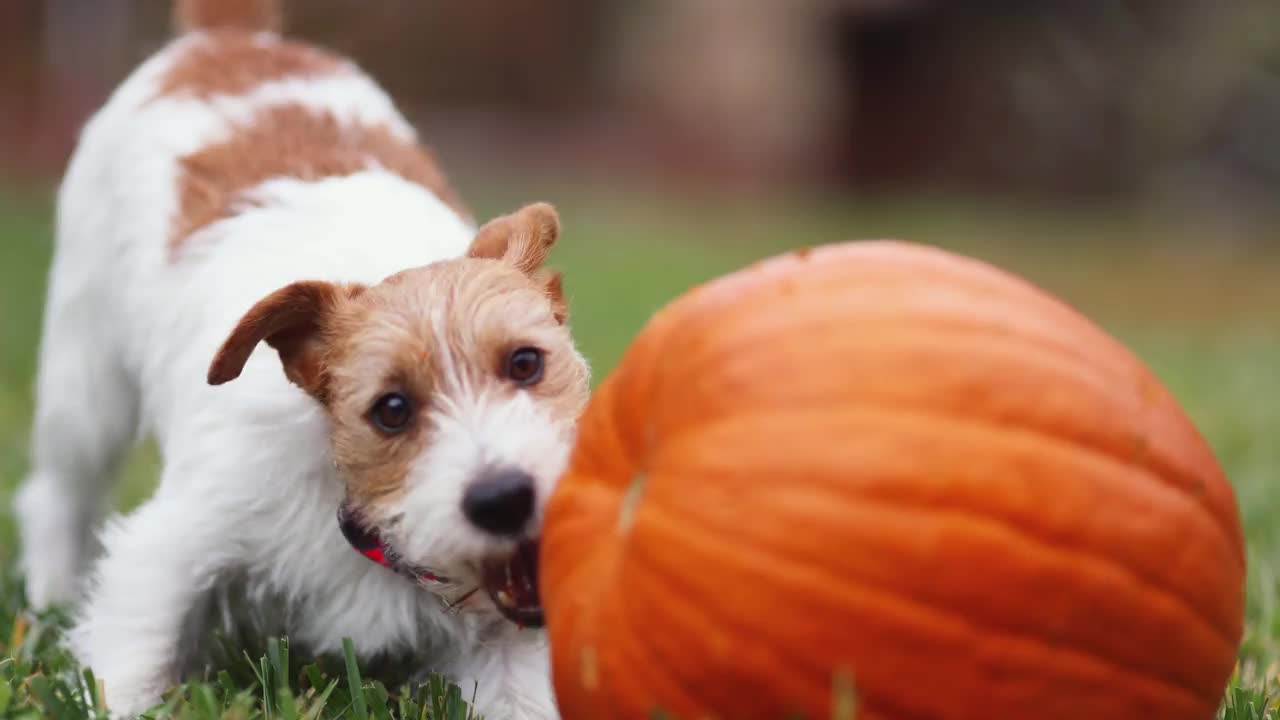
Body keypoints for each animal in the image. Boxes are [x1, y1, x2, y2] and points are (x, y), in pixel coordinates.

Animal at [12, 2, 588, 712]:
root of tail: (234, 36)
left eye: (526, 364)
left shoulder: (511, 640)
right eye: (391, 409)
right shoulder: (171, 549)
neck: (349, 492)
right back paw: (49, 596)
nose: (504, 498)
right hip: (86, 378)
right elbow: (128, 664)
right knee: (59, 491)